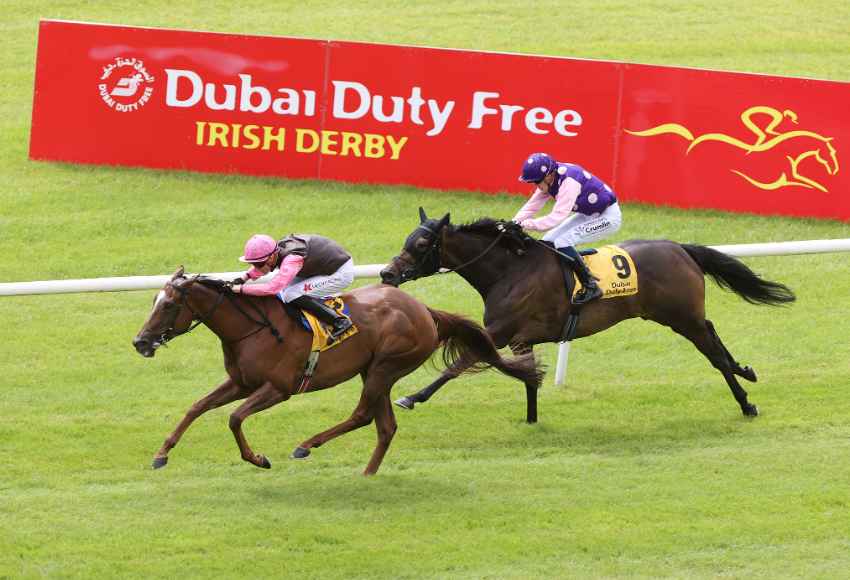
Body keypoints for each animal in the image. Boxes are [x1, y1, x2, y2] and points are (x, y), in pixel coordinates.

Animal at [132, 268, 544, 476]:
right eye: (154, 300)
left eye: (168, 305)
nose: (140, 342)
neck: (251, 328)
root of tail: (425, 310)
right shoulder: (240, 382)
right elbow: (197, 407)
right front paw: (161, 454)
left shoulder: (278, 388)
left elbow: (234, 418)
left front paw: (259, 459)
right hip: (374, 371)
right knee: (385, 425)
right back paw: (367, 474)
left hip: (384, 366)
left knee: (363, 415)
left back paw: (306, 445)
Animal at [380, 208, 796, 422]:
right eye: (406, 240)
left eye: (421, 243)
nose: (386, 273)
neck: (510, 270)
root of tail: (680, 248)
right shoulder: (520, 337)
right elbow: (528, 378)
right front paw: (531, 418)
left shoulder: (499, 332)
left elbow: (457, 365)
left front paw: (412, 397)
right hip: (684, 316)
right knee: (713, 334)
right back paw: (746, 370)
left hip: (681, 318)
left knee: (713, 354)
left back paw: (745, 402)